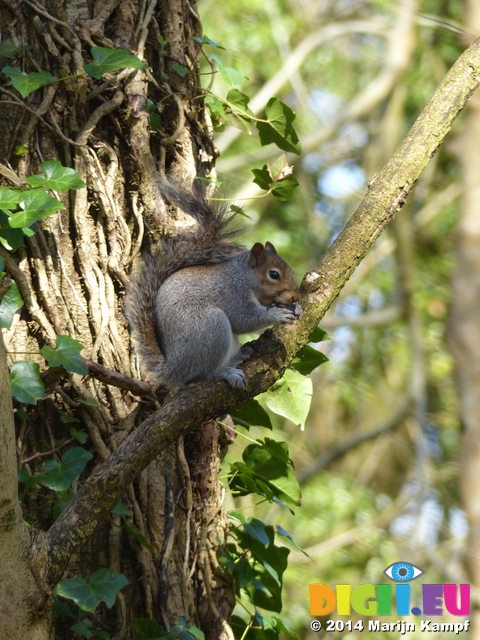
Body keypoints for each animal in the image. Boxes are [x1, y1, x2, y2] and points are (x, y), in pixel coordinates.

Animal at [125, 180, 302, 390]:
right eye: (274, 274)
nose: (295, 296)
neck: (245, 277)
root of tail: (173, 369)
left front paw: (297, 308)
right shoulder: (232, 291)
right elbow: (243, 319)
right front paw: (277, 315)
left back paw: (238, 357)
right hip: (211, 327)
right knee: (204, 372)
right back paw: (226, 371)